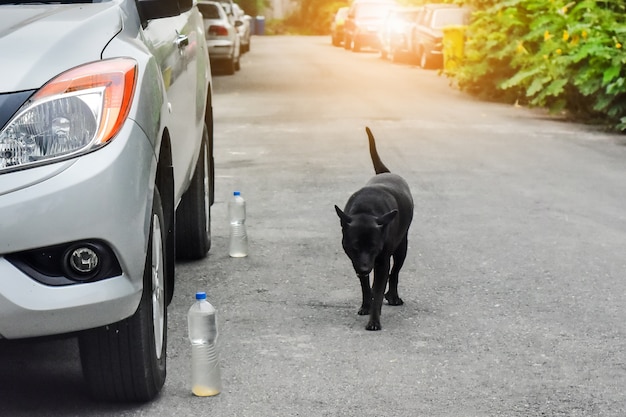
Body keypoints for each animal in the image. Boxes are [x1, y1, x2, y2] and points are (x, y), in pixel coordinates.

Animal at [334, 127, 412, 332]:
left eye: (374, 247)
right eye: (354, 247)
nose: (364, 268)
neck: (366, 210)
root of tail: (387, 172)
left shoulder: (381, 262)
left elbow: (378, 289)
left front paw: (374, 320)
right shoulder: (355, 260)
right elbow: (365, 286)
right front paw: (366, 305)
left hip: (402, 248)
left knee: (395, 273)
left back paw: (392, 296)